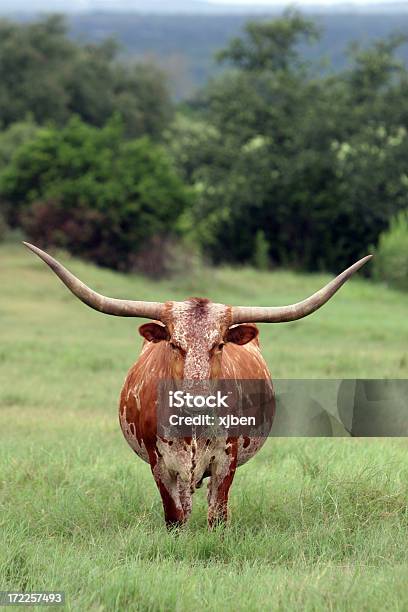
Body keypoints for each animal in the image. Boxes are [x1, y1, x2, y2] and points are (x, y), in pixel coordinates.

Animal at [23, 241, 372, 528]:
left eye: (219, 344)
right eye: (175, 344)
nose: (196, 398)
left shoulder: (225, 462)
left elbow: (217, 515)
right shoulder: (160, 465)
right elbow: (174, 516)